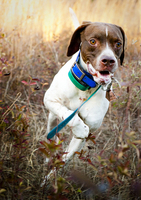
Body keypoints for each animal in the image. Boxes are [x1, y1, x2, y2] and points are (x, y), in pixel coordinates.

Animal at [43, 10, 125, 178]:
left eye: (118, 44)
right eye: (93, 41)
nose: (109, 60)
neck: (87, 85)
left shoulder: (83, 136)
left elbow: (63, 161)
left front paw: (48, 181)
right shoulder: (49, 99)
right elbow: (71, 116)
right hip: (52, 118)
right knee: (51, 134)